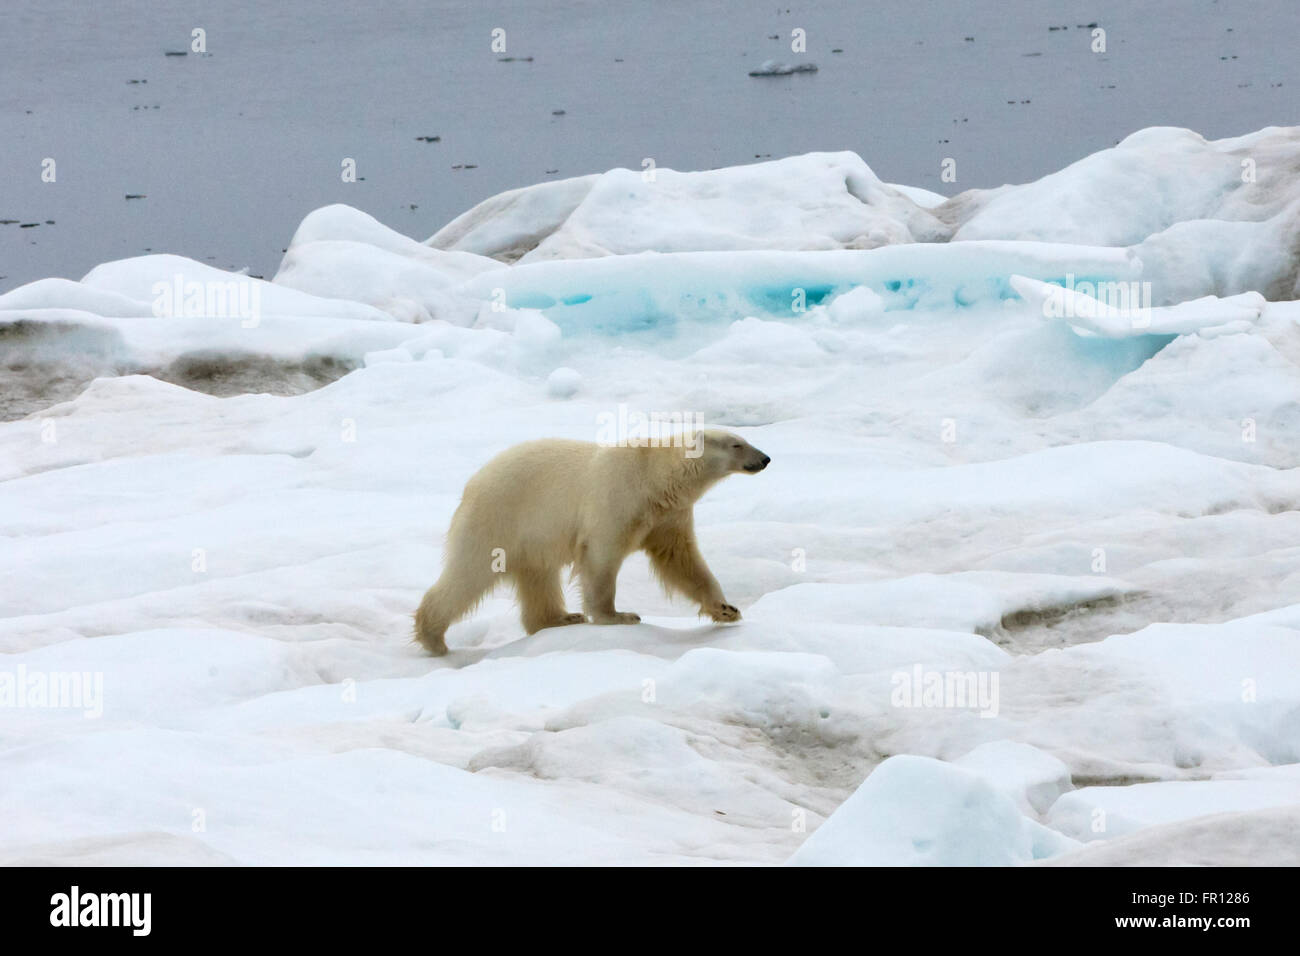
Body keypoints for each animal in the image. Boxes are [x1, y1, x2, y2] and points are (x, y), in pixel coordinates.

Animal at [410, 429, 764, 655]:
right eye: (737, 444)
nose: (766, 458)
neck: (654, 477)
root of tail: (472, 483)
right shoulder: (617, 498)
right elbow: (602, 557)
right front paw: (618, 616)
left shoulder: (668, 515)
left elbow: (682, 560)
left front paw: (727, 610)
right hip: (499, 517)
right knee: (470, 571)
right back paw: (433, 637)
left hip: (532, 536)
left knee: (538, 577)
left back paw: (560, 618)